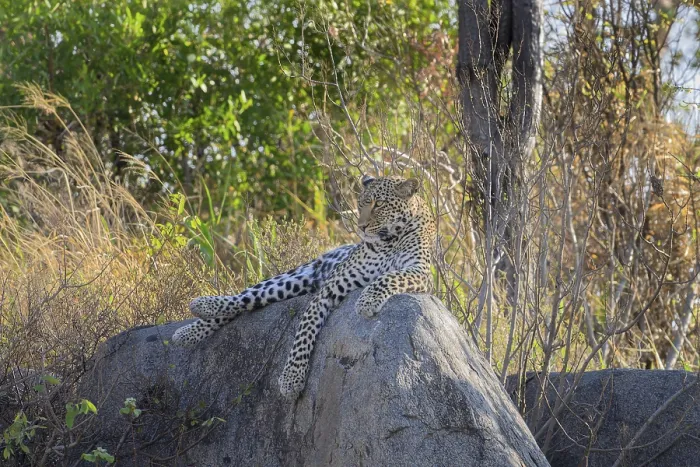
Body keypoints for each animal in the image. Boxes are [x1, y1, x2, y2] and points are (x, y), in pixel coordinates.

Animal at [171, 175, 436, 397]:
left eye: (379, 204)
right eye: (361, 204)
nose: (360, 227)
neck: (390, 240)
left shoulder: (420, 273)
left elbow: (387, 277)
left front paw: (367, 300)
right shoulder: (329, 289)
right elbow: (304, 333)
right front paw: (291, 378)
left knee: (247, 303)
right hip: (289, 280)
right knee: (244, 297)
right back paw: (194, 319)